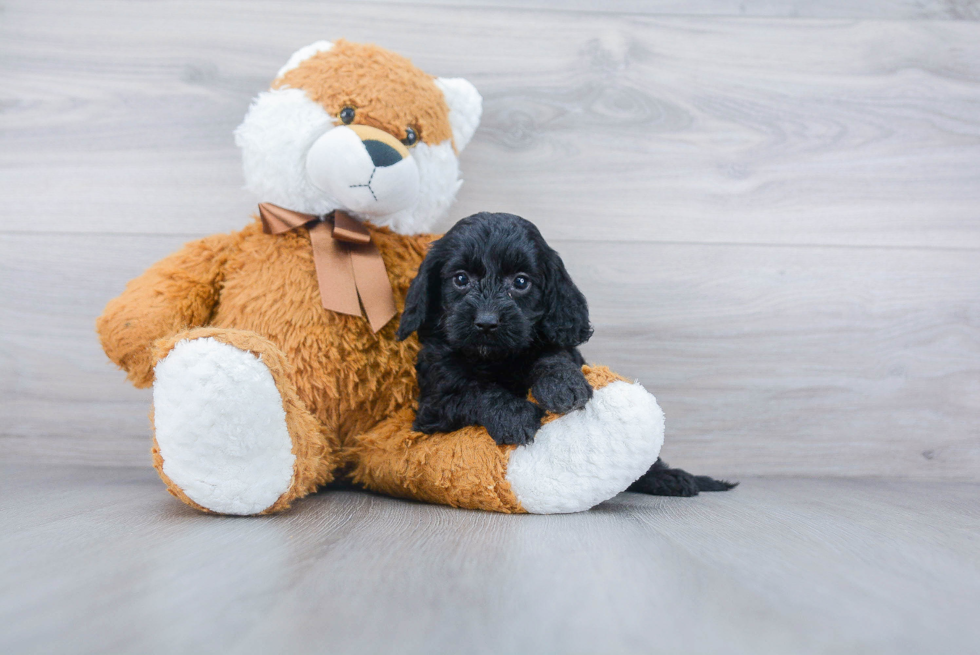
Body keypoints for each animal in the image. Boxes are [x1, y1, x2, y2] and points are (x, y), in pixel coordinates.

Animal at [396, 213, 592, 448]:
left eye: (521, 281)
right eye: (461, 279)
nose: (487, 322)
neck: (494, 358)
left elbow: (555, 355)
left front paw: (562, 383)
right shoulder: (435, 402)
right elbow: (474, 391)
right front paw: (513, 416)